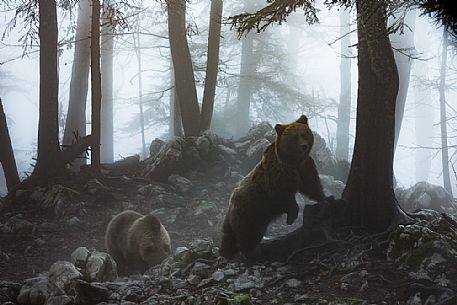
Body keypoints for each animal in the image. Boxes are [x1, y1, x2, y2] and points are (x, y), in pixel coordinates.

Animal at [218, 115, 322, 258]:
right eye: (294, 137)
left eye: (304, 134)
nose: (304, 146)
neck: (292, 162)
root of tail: (230, 204)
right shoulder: (276, 179)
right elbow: (284, 198)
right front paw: (291, 217)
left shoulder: (305, 167)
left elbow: (312, 185)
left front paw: (325, 198)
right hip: (251, 210)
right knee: (248, 234)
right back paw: (252, 252)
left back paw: (227, 251)